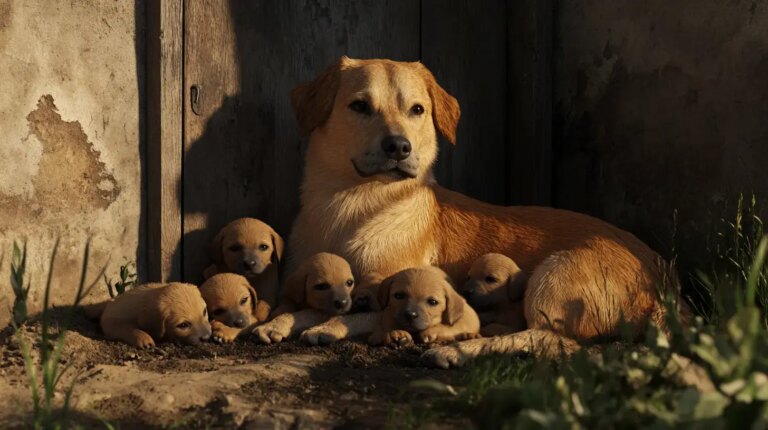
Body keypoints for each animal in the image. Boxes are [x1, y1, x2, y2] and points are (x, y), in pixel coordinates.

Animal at [292, 56, 676, 366]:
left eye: (417, 110)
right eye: (359, 106)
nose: (400, 147)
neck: (352, 205)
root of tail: (665, 283)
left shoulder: (399, 293)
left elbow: (363, 315)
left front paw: (328, 327)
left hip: (553, 275)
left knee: (550, 340)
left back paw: (456, 351)